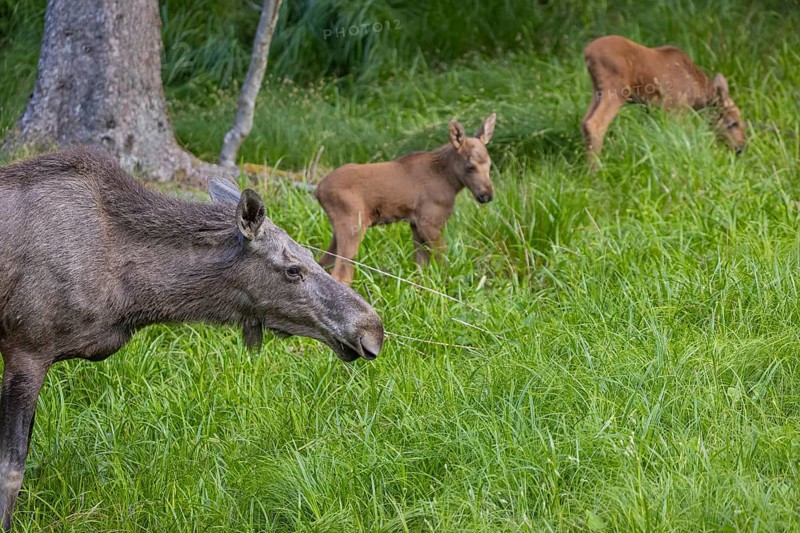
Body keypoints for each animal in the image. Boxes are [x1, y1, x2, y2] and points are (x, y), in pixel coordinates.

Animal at [0, 147, 384, 530]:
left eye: (308, 254)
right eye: (293, 269)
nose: (372, 328)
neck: (130, 297)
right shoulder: (27, 350)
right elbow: (12, 470)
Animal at [316, 113, 497, 284]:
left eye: (489, 165)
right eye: (470, 167)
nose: (487, 195)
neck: (450, 181)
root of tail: (318, 190)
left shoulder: (415, 224)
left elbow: (421, 269)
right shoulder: (430, 222)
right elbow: (442, 262)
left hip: (341, 229)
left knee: (324, 263)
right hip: (354, 224)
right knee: (341, 274)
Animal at [581, 35, 746, 169]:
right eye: (733, 123)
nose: (741, 147)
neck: (697, 92)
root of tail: (588, 52)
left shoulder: (652, 109)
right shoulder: (675, 108)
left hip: (597, 90)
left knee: (584, 121)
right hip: (616, 89)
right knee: (595, 123)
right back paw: (596, 172)